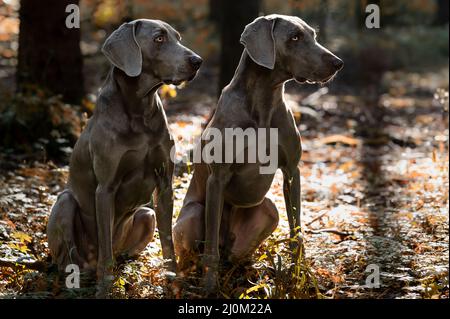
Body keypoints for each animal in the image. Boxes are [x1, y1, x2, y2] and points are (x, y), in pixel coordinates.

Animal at [47, 18, 202, 298]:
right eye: (159, 38)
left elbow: (168, 244)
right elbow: (105, 248)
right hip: (65, 203)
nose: (198, 61)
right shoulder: (105, 188)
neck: (139, 111)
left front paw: (172, 282)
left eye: (178, 37)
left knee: (123, 251)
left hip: (145, 214)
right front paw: (105, 288)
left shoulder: (164, 185)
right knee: (71, 259)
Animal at [174, 15, 342, 296]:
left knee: (235, 255)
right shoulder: (217, 178)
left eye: (313, 35)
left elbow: (296, 231)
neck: (264, 102)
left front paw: (301, 277)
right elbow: (210, 249)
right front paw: (210, 288)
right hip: (194, 213)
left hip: (268, 210)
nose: (338, 63)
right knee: (198, 253)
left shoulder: (292, 171)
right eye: (295, 37)